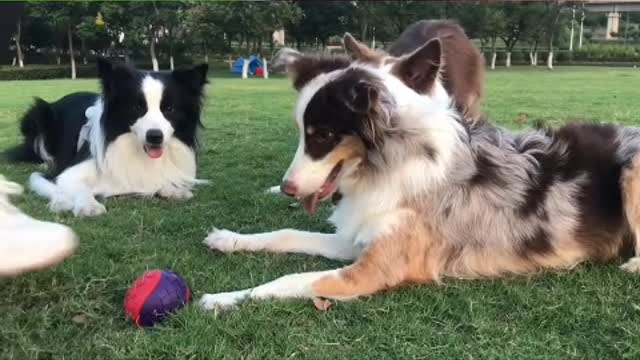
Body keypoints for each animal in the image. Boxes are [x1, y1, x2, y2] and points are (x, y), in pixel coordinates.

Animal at [201, 32, 640, 310]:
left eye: (322, 134)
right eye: (301, 132)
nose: (287, 189)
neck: (394, 161)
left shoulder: (375, 270)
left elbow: (288, 280)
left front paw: (222, 299)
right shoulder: (357, 238)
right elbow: (287, 233)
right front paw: (230, 238)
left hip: (632, 171)